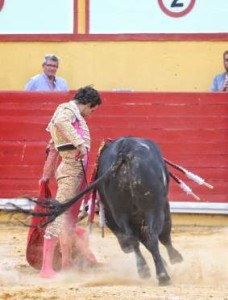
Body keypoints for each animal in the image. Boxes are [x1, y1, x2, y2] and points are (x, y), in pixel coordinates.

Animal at [22, 136, 182, 286]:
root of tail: (124, 152)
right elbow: (162, 236)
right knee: (152, 235)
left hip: (119, 212)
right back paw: (163, 276)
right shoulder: (162, 205)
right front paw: (175, 259)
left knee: (131, 238)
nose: (124, 249)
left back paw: (144, 271)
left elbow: (140, 240)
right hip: (152, 207)